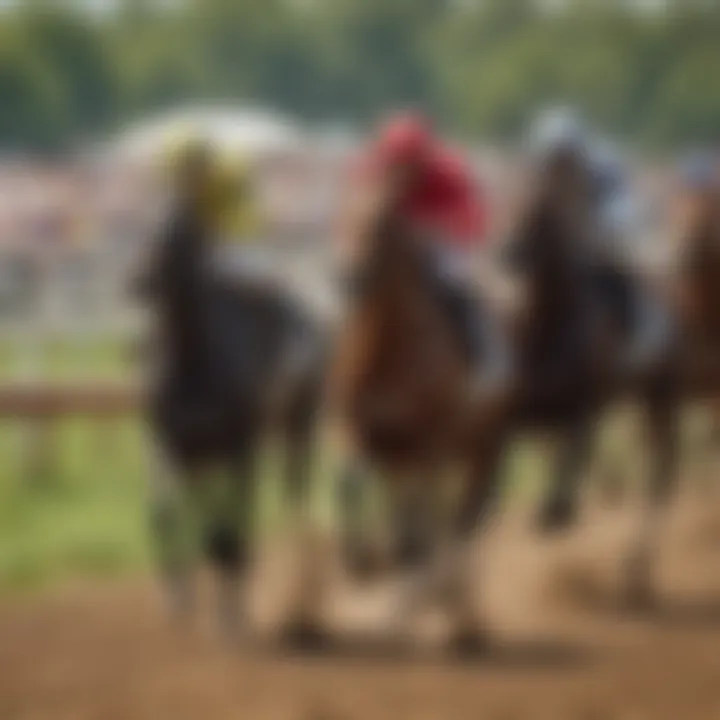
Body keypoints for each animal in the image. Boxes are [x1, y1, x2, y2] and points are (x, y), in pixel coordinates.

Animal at [135, 200, 326, 640]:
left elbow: (232, 529)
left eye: (185, 233)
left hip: (298, 427)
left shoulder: (241, 444)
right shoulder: (171, 444)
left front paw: (231, 614)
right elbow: (166, 515)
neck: (194, 366)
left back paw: (297, 601)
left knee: (293, 502)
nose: (140, 279)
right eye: (149, 224)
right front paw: (179, 598)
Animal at [326, 193, 512, 652]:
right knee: (425, 521)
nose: (344, 274)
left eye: (378, 224)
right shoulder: (357, 433)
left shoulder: (429, 445)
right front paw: (361, 562)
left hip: (485, 448)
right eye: (341, 215)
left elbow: (424, 531)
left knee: (462, 521)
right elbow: (347, 481)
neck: (388, 343)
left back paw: (457, 615)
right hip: (409, 459)